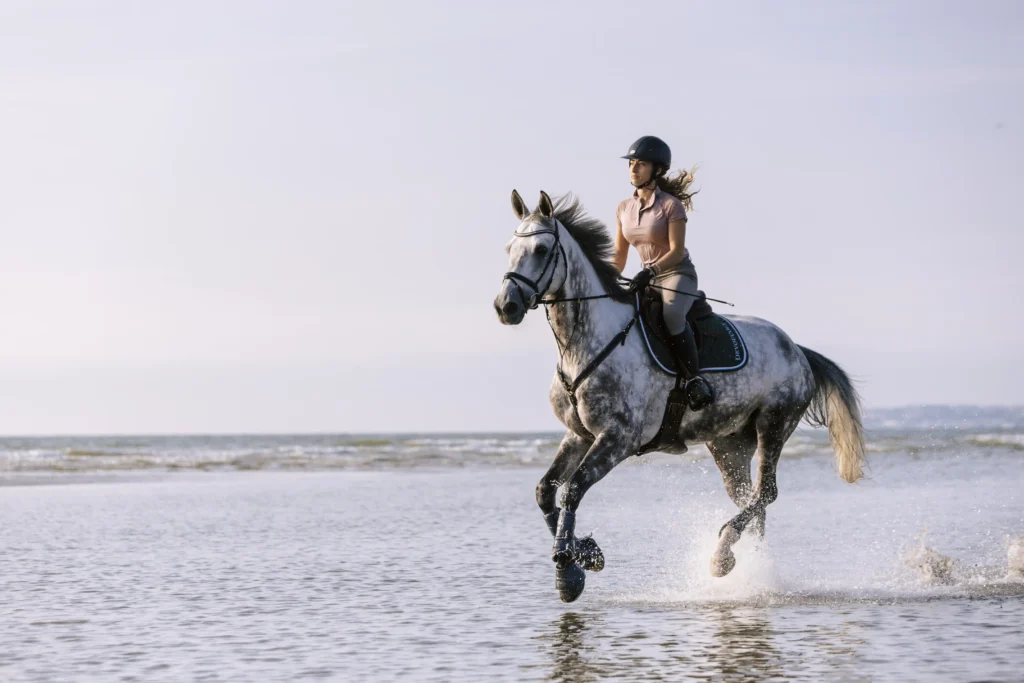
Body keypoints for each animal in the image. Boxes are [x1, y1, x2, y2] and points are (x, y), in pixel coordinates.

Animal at [495, 189, 864, 602]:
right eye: (509, 248)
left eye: (541, 249)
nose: (505, 306)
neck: (583, 344)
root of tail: (797, 349)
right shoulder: (579, 435)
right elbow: (545, 491)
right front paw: (586, 554)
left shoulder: (618, 439)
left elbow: (573, 490)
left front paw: (568, 570)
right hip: (728, 444)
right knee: (752, 501)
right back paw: (749, 569)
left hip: (774, 423)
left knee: (766, 492)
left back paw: (721, 555)